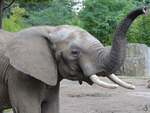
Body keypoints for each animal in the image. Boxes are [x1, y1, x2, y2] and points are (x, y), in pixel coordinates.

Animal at [0, 6, 148, 113]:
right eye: (74, 52)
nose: (145, 9)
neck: (50, 30)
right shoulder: (19, 75)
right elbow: (28, 109)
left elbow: (52, 107)